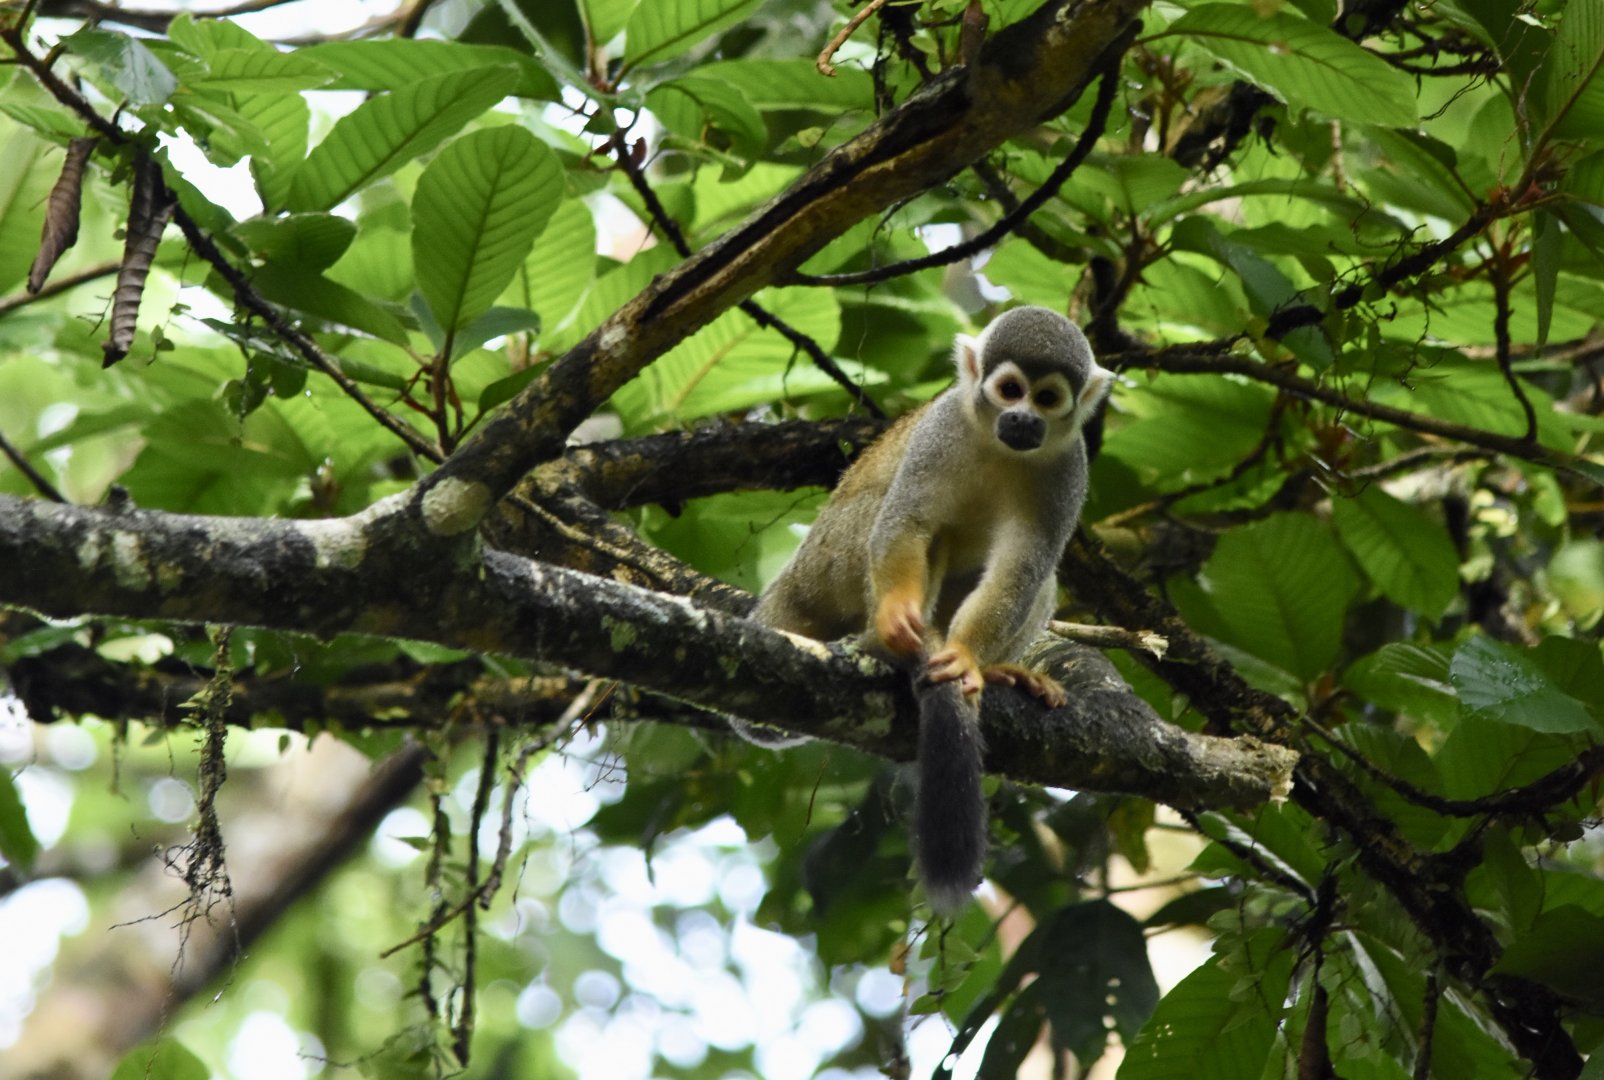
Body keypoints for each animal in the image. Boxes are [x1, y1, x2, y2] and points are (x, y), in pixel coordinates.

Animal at [744, 306, 1114, 914]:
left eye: (1047, 398)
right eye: (1010, 390)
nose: (1022, 419)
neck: (997, 445)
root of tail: (793, 582)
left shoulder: (1069, 469)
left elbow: (1023, 568)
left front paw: (964, 657)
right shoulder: (941, 431)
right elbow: (908, 521)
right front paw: (897, 617)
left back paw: (989, 664)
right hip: (831, 556)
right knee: (896, 520)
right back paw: (884, 641)